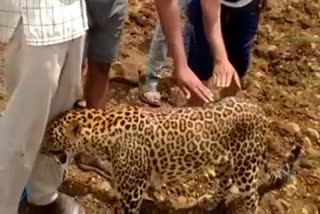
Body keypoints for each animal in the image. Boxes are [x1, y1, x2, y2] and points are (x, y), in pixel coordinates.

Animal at [39, 97, 300, 214]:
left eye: (51, 136)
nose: (40, 149)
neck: (102, 135)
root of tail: (260, 109)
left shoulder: (133, 192)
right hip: (225, 163)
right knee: (224, 184)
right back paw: (209, 203)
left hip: (246, 167)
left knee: (253, 197)